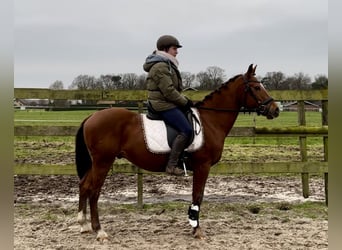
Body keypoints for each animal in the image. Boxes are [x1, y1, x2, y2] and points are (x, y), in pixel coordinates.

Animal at [74, 64, 278, 240]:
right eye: (257, 87)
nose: (275, 110)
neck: (210, 121)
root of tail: (92, 116)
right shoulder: (202, 166)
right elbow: (198, 196)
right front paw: (196, 230)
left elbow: (197, 196)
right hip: (103, 161)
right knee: (94, 191)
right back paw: (99, 231)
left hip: (96, 163)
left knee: (84, 185)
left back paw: (84, 225)